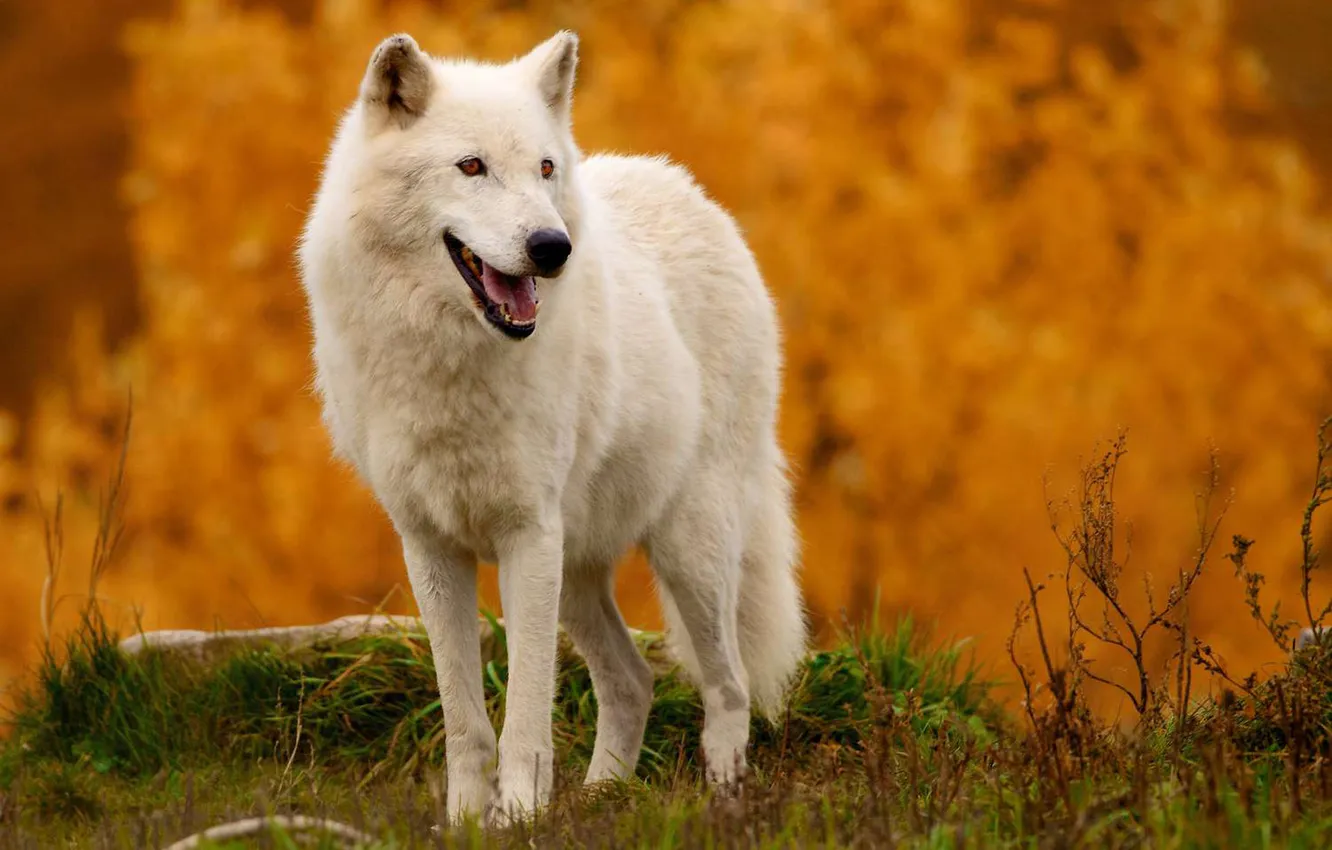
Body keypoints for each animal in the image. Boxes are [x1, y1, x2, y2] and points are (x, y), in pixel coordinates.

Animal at [297, 30, 807, 823]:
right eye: (471, 166)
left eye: (544, 169)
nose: (551, 246)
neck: (451, 359)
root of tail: (691, 191)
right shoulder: (430, 546)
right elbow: (465, 719)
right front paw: (467, 822)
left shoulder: (526, 537)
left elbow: (527, 712)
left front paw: (518, 818)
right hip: (579, 571)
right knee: (633, 680)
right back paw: (602, 799)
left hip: (687, 548)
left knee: (728, 686)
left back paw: (724, 801)